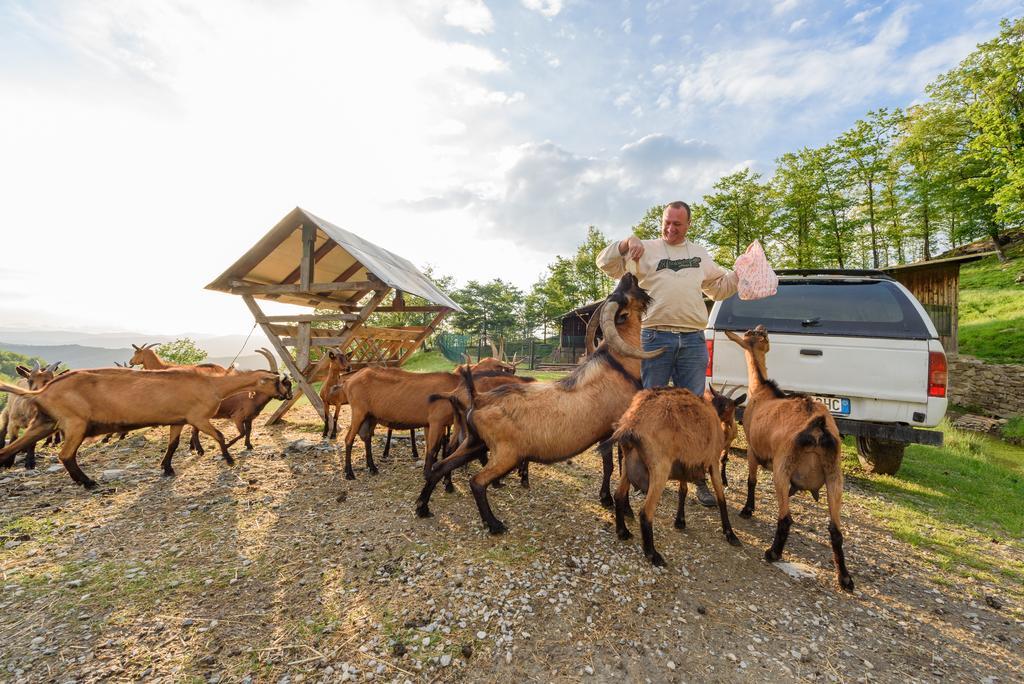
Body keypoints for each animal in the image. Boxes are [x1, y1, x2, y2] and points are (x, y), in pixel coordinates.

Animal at [1, 368, 288, 485]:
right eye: (281, 381)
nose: (286, 394)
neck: (212, 384)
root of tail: (43, 391)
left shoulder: (179, 420)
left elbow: (173, 444)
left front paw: (167, 468)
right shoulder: (198, 418)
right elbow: (218, 434)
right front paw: (229, 459)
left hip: (45, 422)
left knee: (8, 449)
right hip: (75, 423)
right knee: (65, 455)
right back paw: (87, 482)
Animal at [415, 272, 663, 532]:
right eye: (626, 294)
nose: (629, 275)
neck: (618, 365)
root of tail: (478, 398)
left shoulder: (607, 433)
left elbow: (610, 465)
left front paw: (608, 500)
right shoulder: (620, 429)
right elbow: (620, 467)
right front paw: (624, 511)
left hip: (475, 442)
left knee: (440, 466)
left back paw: (423, 507)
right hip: (505, 453)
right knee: (477, 481)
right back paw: (494, 524)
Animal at [606, 385, 745, 565]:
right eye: (731, 406)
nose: (733, 428)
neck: (714, 411)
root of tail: (631, 423)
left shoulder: (684, 462)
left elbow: (683, 490)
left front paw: (680, 521)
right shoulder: (713, 461)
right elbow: (721, 497)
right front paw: (730, 534)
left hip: (628, 463)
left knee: (618, 495)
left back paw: (623, 532)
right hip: (660, 468)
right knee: (645, 511)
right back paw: (653, 554)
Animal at [724, 325, 851, 593]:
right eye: (758, 335)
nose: (761, 327)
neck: (761, 390)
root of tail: (818, 428)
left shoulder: (752, 448)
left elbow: (751, 480)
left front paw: (747, 509)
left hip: (783, 468)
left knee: (785, 518)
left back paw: (772, 553)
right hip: (835, 475)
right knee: (836, 530)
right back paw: (845, 578)